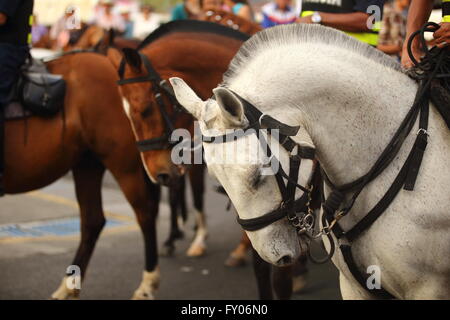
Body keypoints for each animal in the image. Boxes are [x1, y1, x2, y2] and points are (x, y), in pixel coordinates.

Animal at [3, 52, 162, 300]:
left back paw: (147, 284)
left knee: (144, 213)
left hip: (122, 165)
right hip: (87, 164)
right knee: (93, 220)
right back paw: (68, 287)